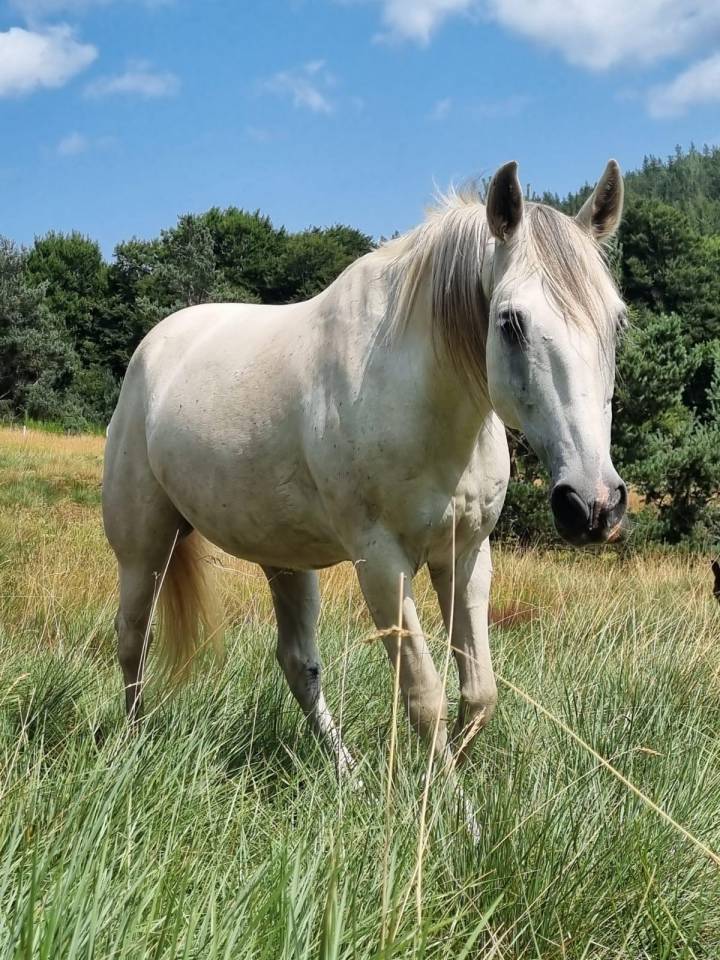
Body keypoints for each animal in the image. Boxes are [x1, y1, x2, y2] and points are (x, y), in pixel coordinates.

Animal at [102, 159, 628, 774]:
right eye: (511, 322)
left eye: (616, 322)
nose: (592, 505)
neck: (419, 398)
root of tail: (156, 345)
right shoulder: (381, 563)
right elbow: (425, 697)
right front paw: (448, 799)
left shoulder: (467, 556)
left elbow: (480, 692)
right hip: (144, 546)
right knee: (133, 639)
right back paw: (132, 745)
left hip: (284, 560)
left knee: (298, 663)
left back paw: (346, 773)